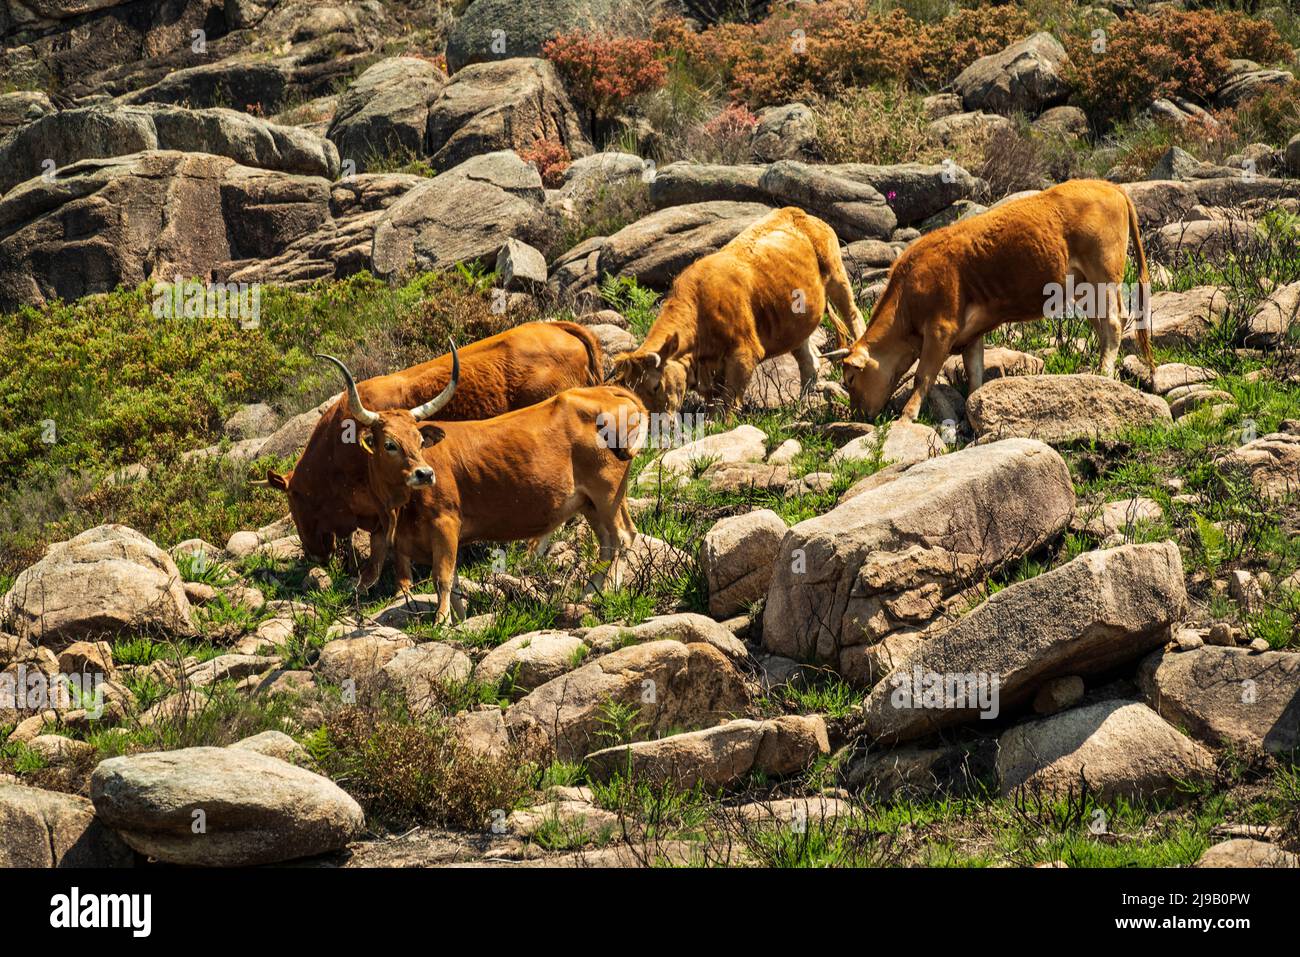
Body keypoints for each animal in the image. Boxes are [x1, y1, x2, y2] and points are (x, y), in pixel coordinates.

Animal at [605, 205, 863, 416]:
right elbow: (713, 403)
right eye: (634, 393)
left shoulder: (744, 354)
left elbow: (729, 403)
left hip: (837, 275)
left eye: (656, 385)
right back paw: (803, 405)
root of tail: (796, 212)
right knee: (809, 361)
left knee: (854, 316)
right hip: (795, 321)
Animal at [837, 176, 1154, 421]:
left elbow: (923, 376)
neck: (907, 296)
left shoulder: (941, 329)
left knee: (1112, 324)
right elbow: (975, 373)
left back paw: (1105, 373)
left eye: (850, 380)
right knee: (1101, 327)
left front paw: (908, 414)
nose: (858, 414)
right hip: (1084, 288)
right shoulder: (970, 334)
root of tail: (1107, 185)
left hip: (1103, 274)